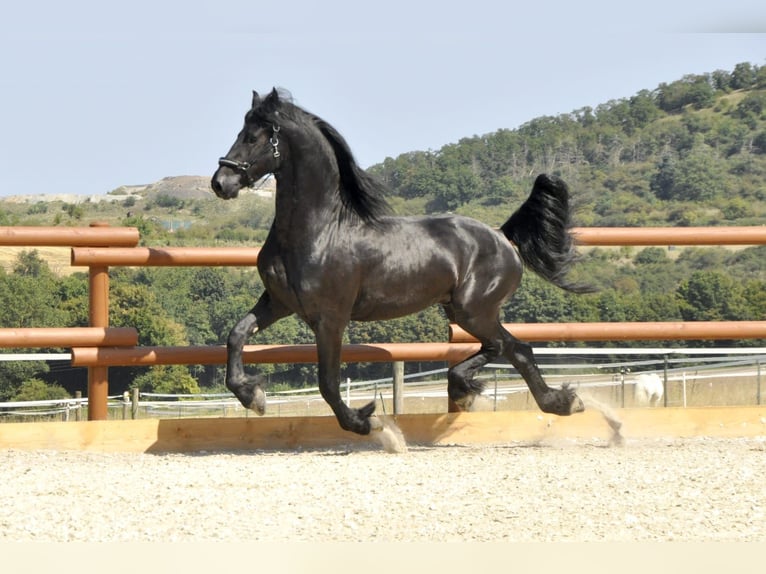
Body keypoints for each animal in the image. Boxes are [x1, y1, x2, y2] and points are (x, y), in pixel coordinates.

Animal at [211, 88, 594, 446]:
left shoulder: (330, 318)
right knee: (506, 349)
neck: (318, 232)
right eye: (242, 130)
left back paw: (546, 400)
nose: (220, 182)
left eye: (255, 136)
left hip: (474, 311)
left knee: (511, 348)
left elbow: (328, 383)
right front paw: (252, 395)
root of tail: (502, 235)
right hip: (463, 311)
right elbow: (237, 335)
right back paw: (506, 395)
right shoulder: (279, 302)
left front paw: (368, 423)